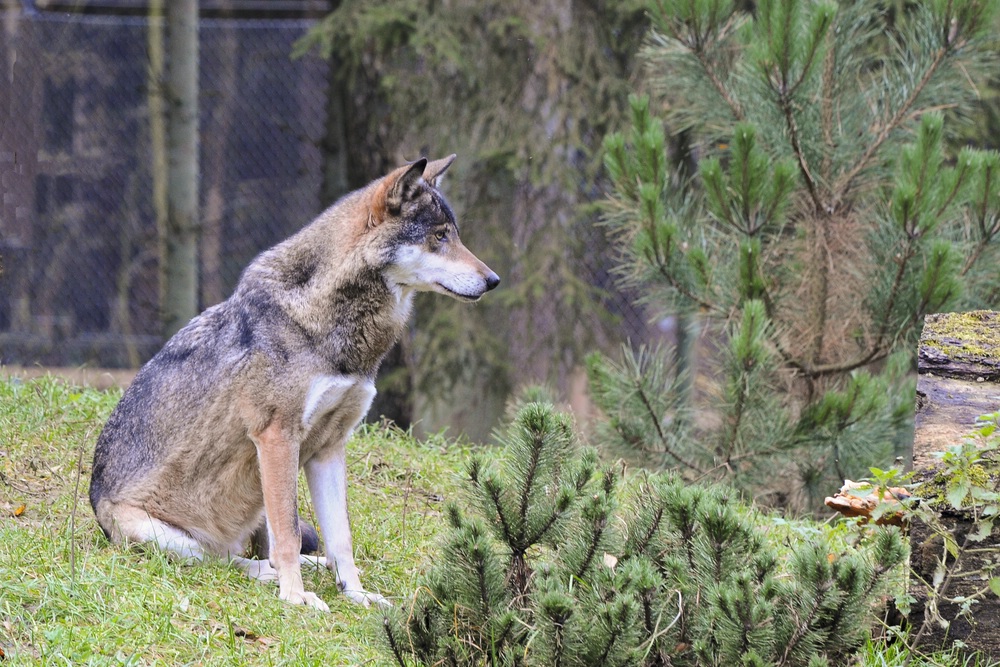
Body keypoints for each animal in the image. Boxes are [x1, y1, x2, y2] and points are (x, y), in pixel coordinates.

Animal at [89, 155, 499, 610]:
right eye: (440, 237)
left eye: (455, 235)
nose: (493, 280)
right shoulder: (276, 437)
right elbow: (287, 535)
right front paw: (296, 597)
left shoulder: (330, 449)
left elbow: (341, 540)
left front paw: (356, 593)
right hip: (166, 534)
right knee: (222, 559)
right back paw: (268, 575)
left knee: (264, 548)